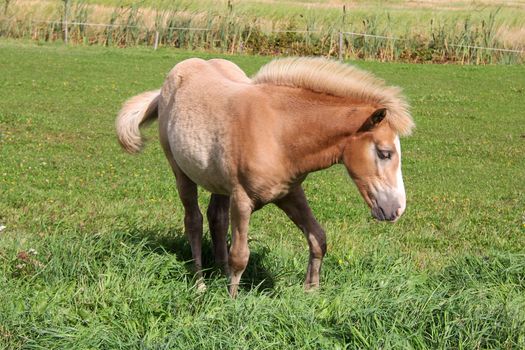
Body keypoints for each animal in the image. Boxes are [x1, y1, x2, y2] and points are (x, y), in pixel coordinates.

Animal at [114, 56, 414, 296]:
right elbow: (240, 256)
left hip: (219, 183)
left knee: (217, 219)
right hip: (181, 173)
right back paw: (200, 283)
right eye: (385, 153)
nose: (397, 209)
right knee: (194, 222)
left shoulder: (289, 193)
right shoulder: (242, 199)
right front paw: (231, 302)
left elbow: (318, 238)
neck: (280, 132)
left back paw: (219, 272)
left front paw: (311, 292)